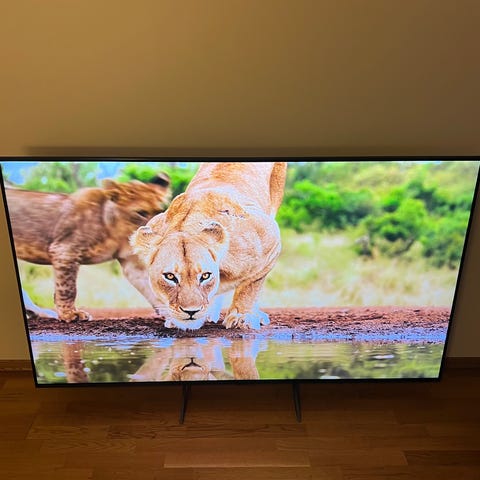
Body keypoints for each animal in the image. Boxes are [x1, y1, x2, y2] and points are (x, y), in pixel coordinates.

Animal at [6, 175, 171, 322]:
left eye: (159, 211)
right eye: (141, 212)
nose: (159, 234)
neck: (115, 229)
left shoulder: (131, 263)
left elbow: (152, 287)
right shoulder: (64, 250)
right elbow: (67, 288)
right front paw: (70, 315)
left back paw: (39, 313)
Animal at [130, 162, 287, 330]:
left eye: (205, 276)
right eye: (170, 276)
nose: (191, 311)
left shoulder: (270, 238)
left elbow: (250, 286)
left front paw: (242, 317)